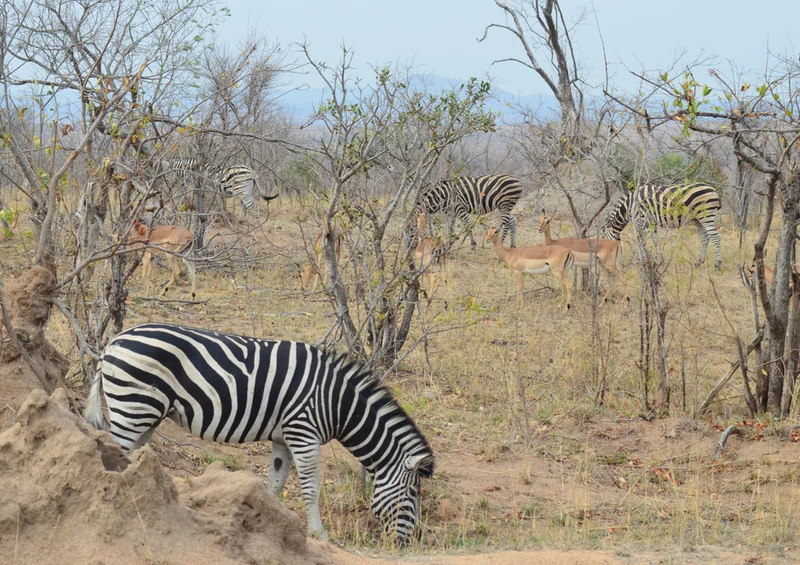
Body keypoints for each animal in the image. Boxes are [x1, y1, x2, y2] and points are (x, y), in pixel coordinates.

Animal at [85, 322, 434, 542]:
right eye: (413, 494)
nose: (408, 543)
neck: (338, 403)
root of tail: (113, 342)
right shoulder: (303, 433)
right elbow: (310, 488)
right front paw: (318, 534)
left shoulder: (283, 438)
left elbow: (275, 484)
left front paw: (268, 522)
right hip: (133, 407)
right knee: (114, 454)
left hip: (146, 414)